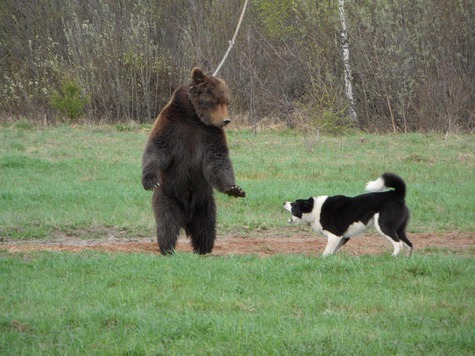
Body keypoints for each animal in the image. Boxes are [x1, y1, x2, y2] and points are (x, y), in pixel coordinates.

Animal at [141, 67, 245, 256]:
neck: (194, 116)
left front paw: (234, 189)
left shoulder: (209, 134)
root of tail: (186, 218)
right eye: (217, 101)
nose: (226, 120)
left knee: (206, 227)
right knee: (167, 223)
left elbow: (217, 160)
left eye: (227, 102)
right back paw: (167, 248)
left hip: (204, 202)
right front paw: (150, 180)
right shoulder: (173, 124)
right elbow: (157, 148)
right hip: (169, 195)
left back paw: (203, 249)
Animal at [284, 173, 414, 254]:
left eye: (294, 204)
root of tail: (396, 194)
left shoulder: (335, 236)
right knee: (409, 245)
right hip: (399, 230)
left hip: (384, 227)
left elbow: (326, 253)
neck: (315, 209)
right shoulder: (343, 237)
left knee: (398, 245)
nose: (284, 202)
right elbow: (331, 253)